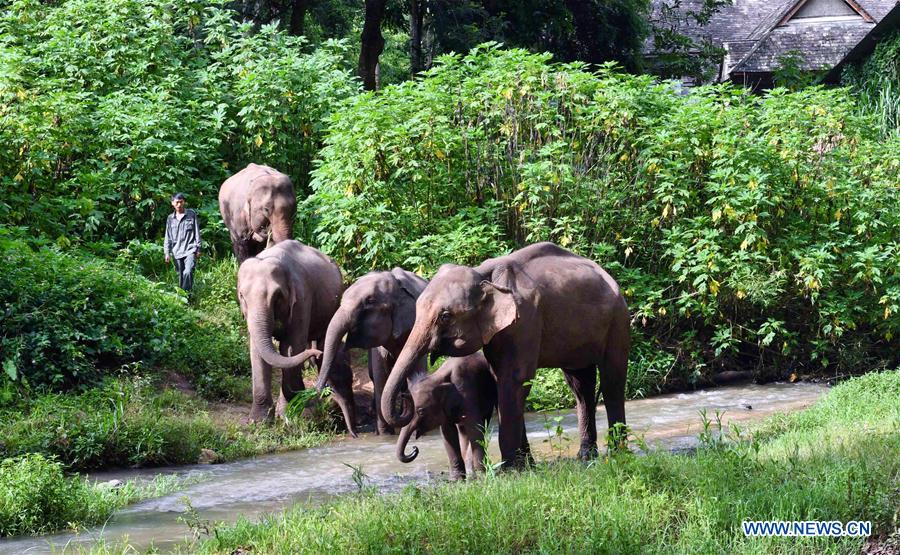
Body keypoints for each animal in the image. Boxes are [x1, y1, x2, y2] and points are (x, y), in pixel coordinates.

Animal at [237, 239, 357, 433]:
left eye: (277, 296)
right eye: (242, 295)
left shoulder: (301, 299)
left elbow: (291, 348)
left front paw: (291, 417)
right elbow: (257, 352)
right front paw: (259, 422)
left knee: (323, 338)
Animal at [381, 242, 629, 469]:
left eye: (445, 316)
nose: (405, 400)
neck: (483, 274)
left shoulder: (525, 320)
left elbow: (514, 379)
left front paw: (509, 469)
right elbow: (501, 378)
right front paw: (525, 466)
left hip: (617, 320)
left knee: (612, 381)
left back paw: (617, 453)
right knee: (580, 386)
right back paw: (586, 456)